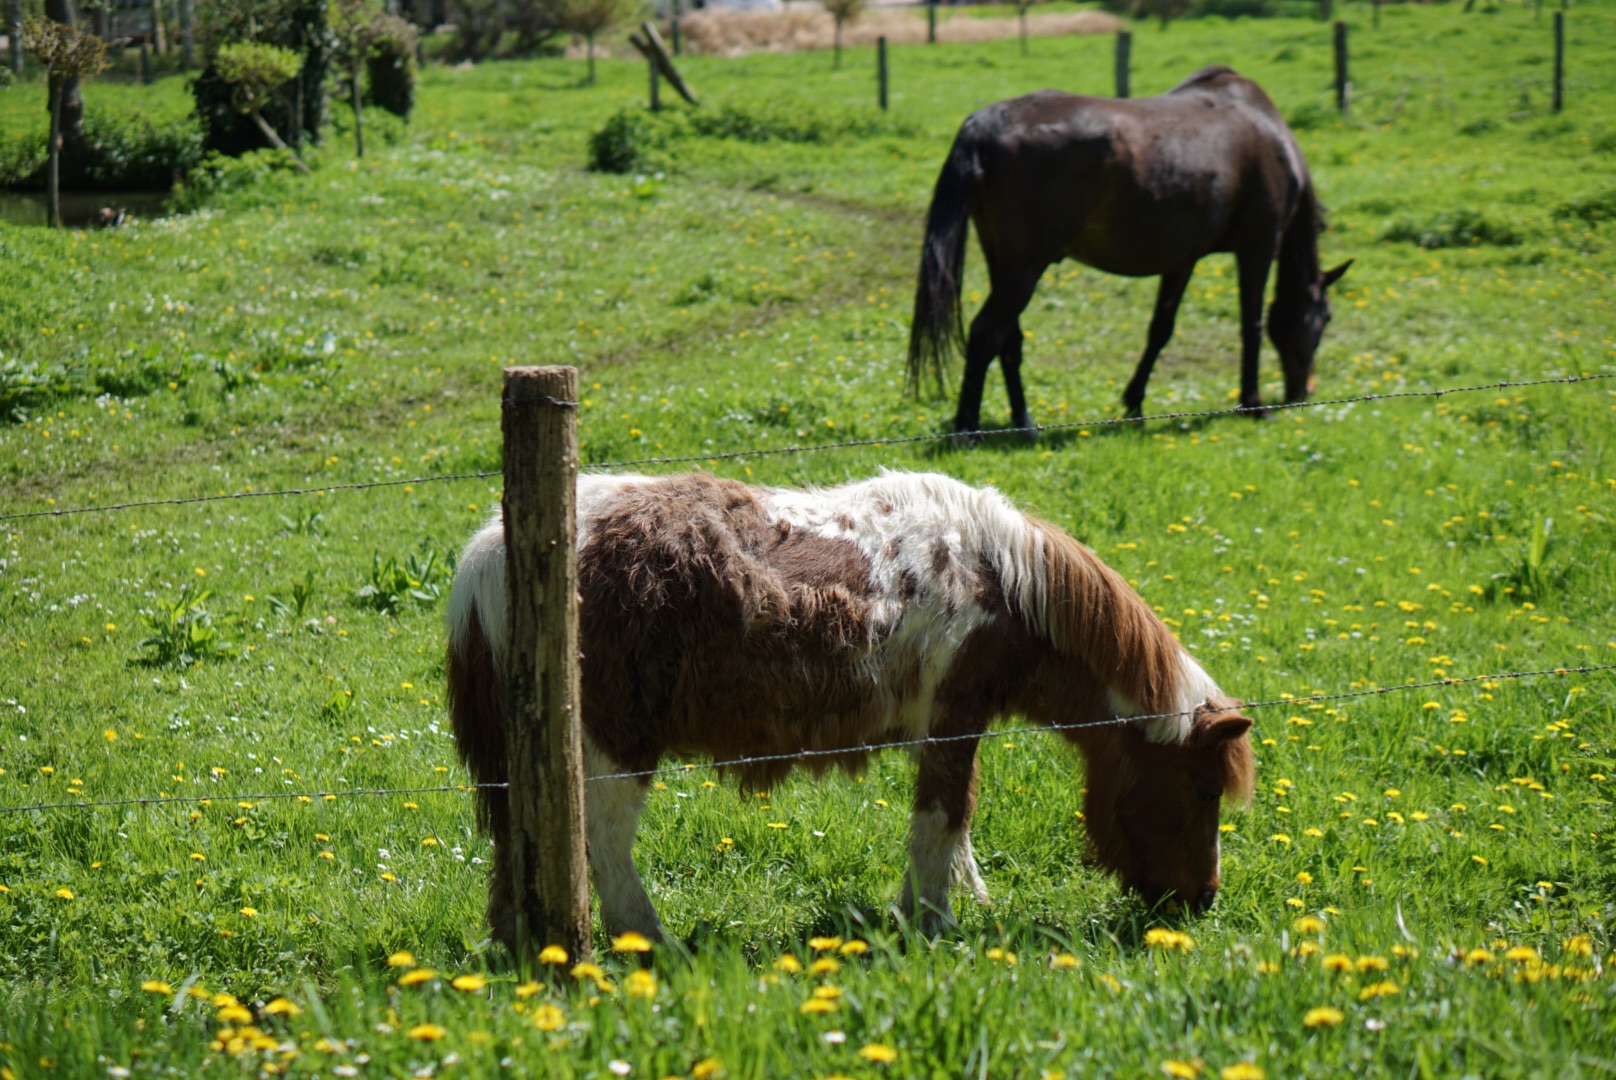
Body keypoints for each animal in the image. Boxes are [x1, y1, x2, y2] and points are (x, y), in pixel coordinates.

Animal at [911, 65, 1350, 430]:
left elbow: (1160, 330)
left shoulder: (1182, 258)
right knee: (986, 333)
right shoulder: (1258, 246)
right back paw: (966, 427)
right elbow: (1251, 325)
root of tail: (987, 123)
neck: (1266, 131)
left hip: (1002, 263)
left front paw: (1134, 403)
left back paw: (1024, 423)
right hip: (1023, 269)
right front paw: (1254, 404)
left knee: (1008, 339)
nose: (1302, 392)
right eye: (1326, 318)